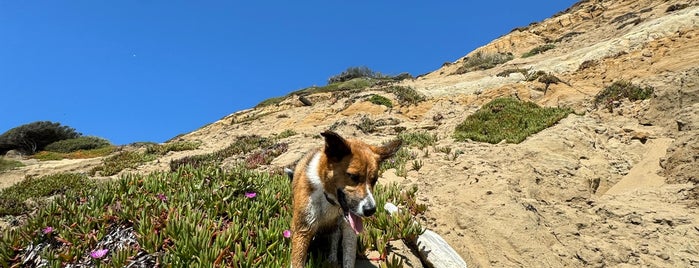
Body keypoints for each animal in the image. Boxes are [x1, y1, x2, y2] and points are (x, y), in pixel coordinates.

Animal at [288, 131, 400, 266]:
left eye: (374, 180)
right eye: (353, 176)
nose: (371, 210)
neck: (329, 200)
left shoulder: (349, 230)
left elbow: (348, 257)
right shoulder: (302, 230)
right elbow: (297, 260)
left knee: (335, 238)